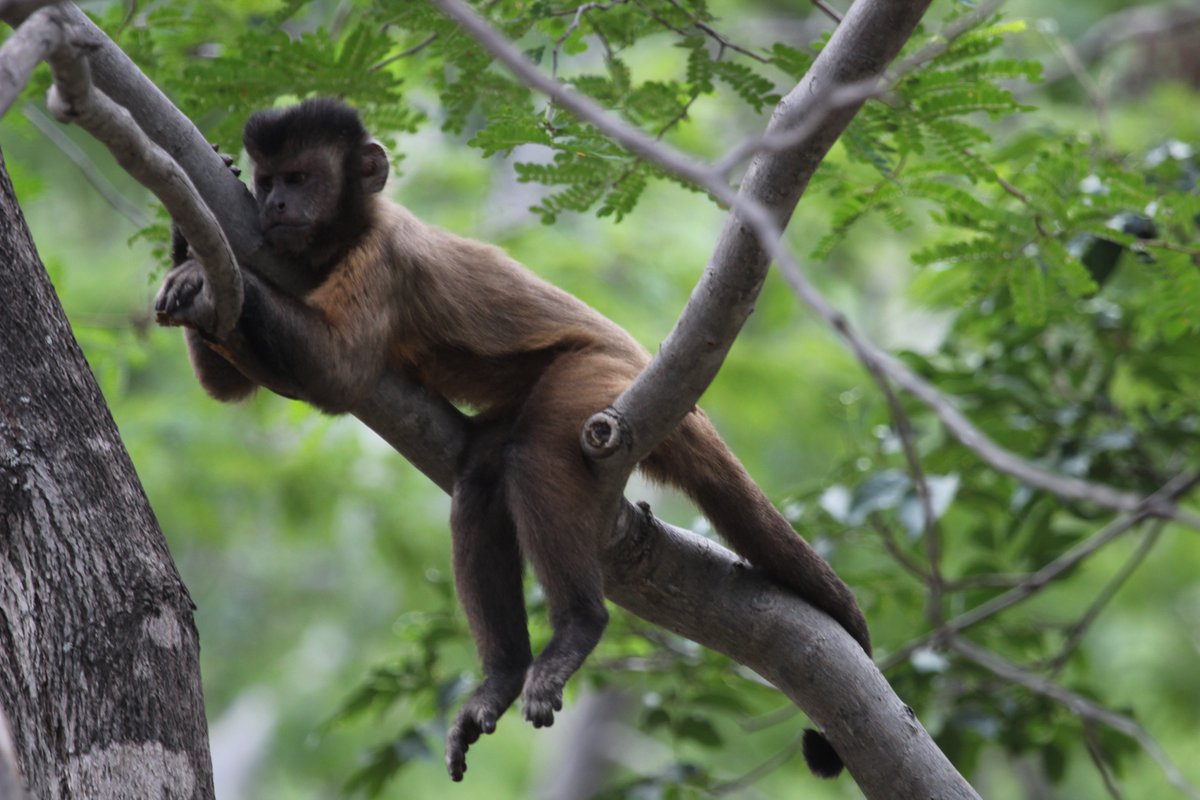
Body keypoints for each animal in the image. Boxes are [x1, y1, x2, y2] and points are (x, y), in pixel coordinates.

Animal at [159, 98, 873, 782]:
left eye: (302, 179)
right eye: (269, 180)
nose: (276, 204)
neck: (349, 234)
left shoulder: (386, 255)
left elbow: (336, 374)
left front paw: (200, 267)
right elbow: (231, 381)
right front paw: (188, 237)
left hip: (600, 383)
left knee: (534, 457)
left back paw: (577, 629)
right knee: (481, 478)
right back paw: (503, 673)